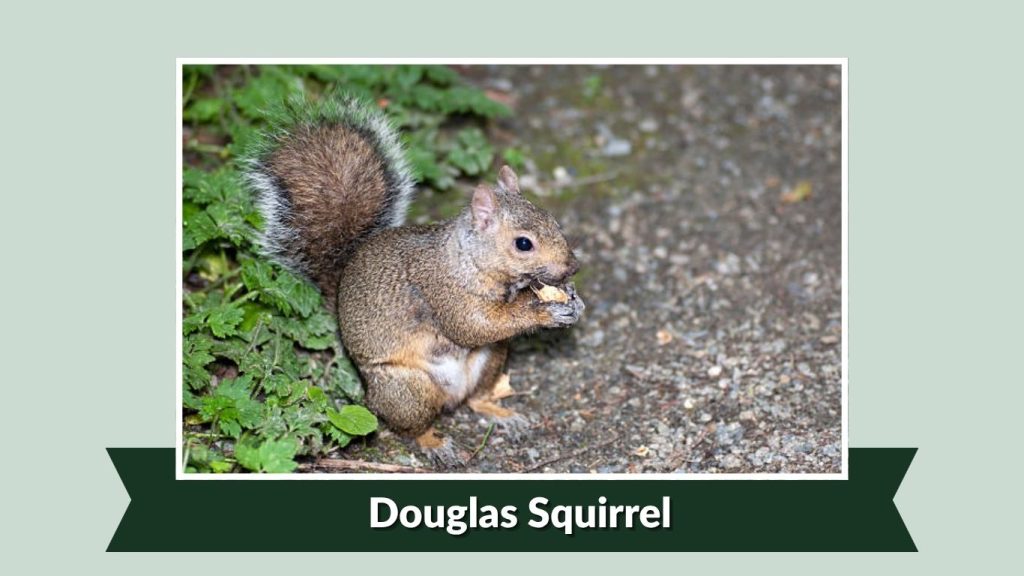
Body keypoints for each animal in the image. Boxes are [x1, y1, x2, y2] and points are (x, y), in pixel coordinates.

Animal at [242, 95, 584, 465]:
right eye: (523, 243)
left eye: (553, 220)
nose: (573, 267)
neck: (467, 259)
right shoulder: (441, 290)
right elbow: (472, 325)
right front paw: (541, 308)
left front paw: (571, 300)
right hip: (407, 390)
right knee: (413, 425)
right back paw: (435, 443)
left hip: (491, 359)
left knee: (474, 398)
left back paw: (500, 412)